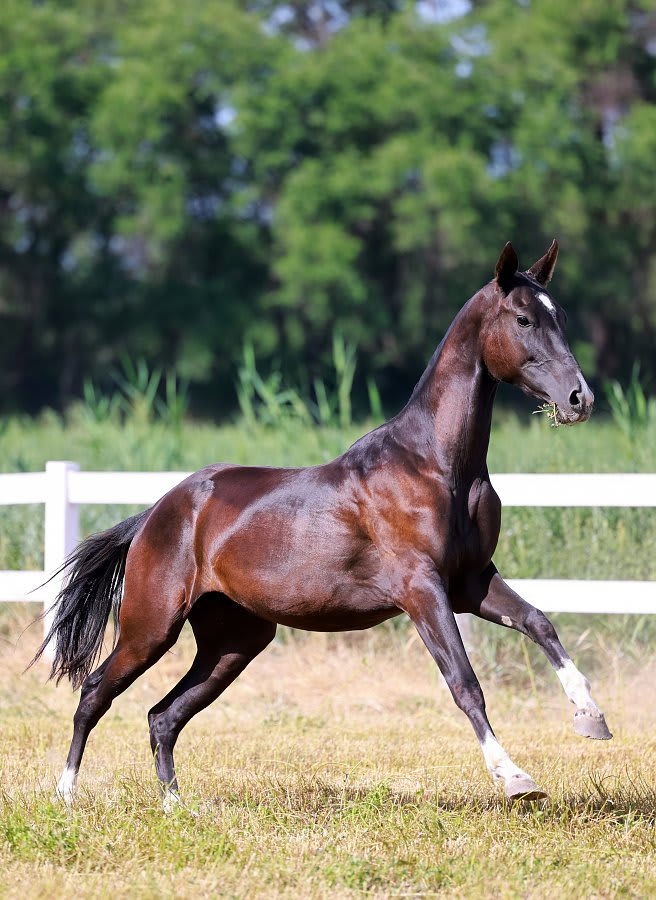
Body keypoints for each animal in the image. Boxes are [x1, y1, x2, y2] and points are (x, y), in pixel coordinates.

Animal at [32, 240, 612, 812]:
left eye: (559, 316)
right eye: (523, 319)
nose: (579, 399)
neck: (436, 466)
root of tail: (155, 513)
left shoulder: (470, 581)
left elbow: (539, 622)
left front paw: (591, 717)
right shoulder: (421, 589)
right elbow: (464, 682)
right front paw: (515, 777)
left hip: (234, 643)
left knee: (163, 716)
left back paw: (175, 807)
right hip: (150, 628)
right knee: (94, 694)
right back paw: (65, 795)